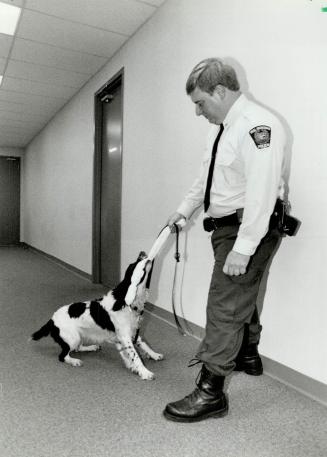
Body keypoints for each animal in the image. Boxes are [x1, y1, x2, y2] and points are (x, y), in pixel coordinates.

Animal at [30, 249, 164, 378]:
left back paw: (92, 347)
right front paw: (145, 372)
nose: (141, 253)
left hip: (79, 336)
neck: (126, 302)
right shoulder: (125, 336)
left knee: (77, 348)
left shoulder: (132, 331)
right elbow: (135, 356)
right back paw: (74, 361)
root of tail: (51, 319)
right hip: (72, 337)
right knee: (63, 356)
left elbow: (143, 344)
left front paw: (154, 354)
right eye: (133, 265)